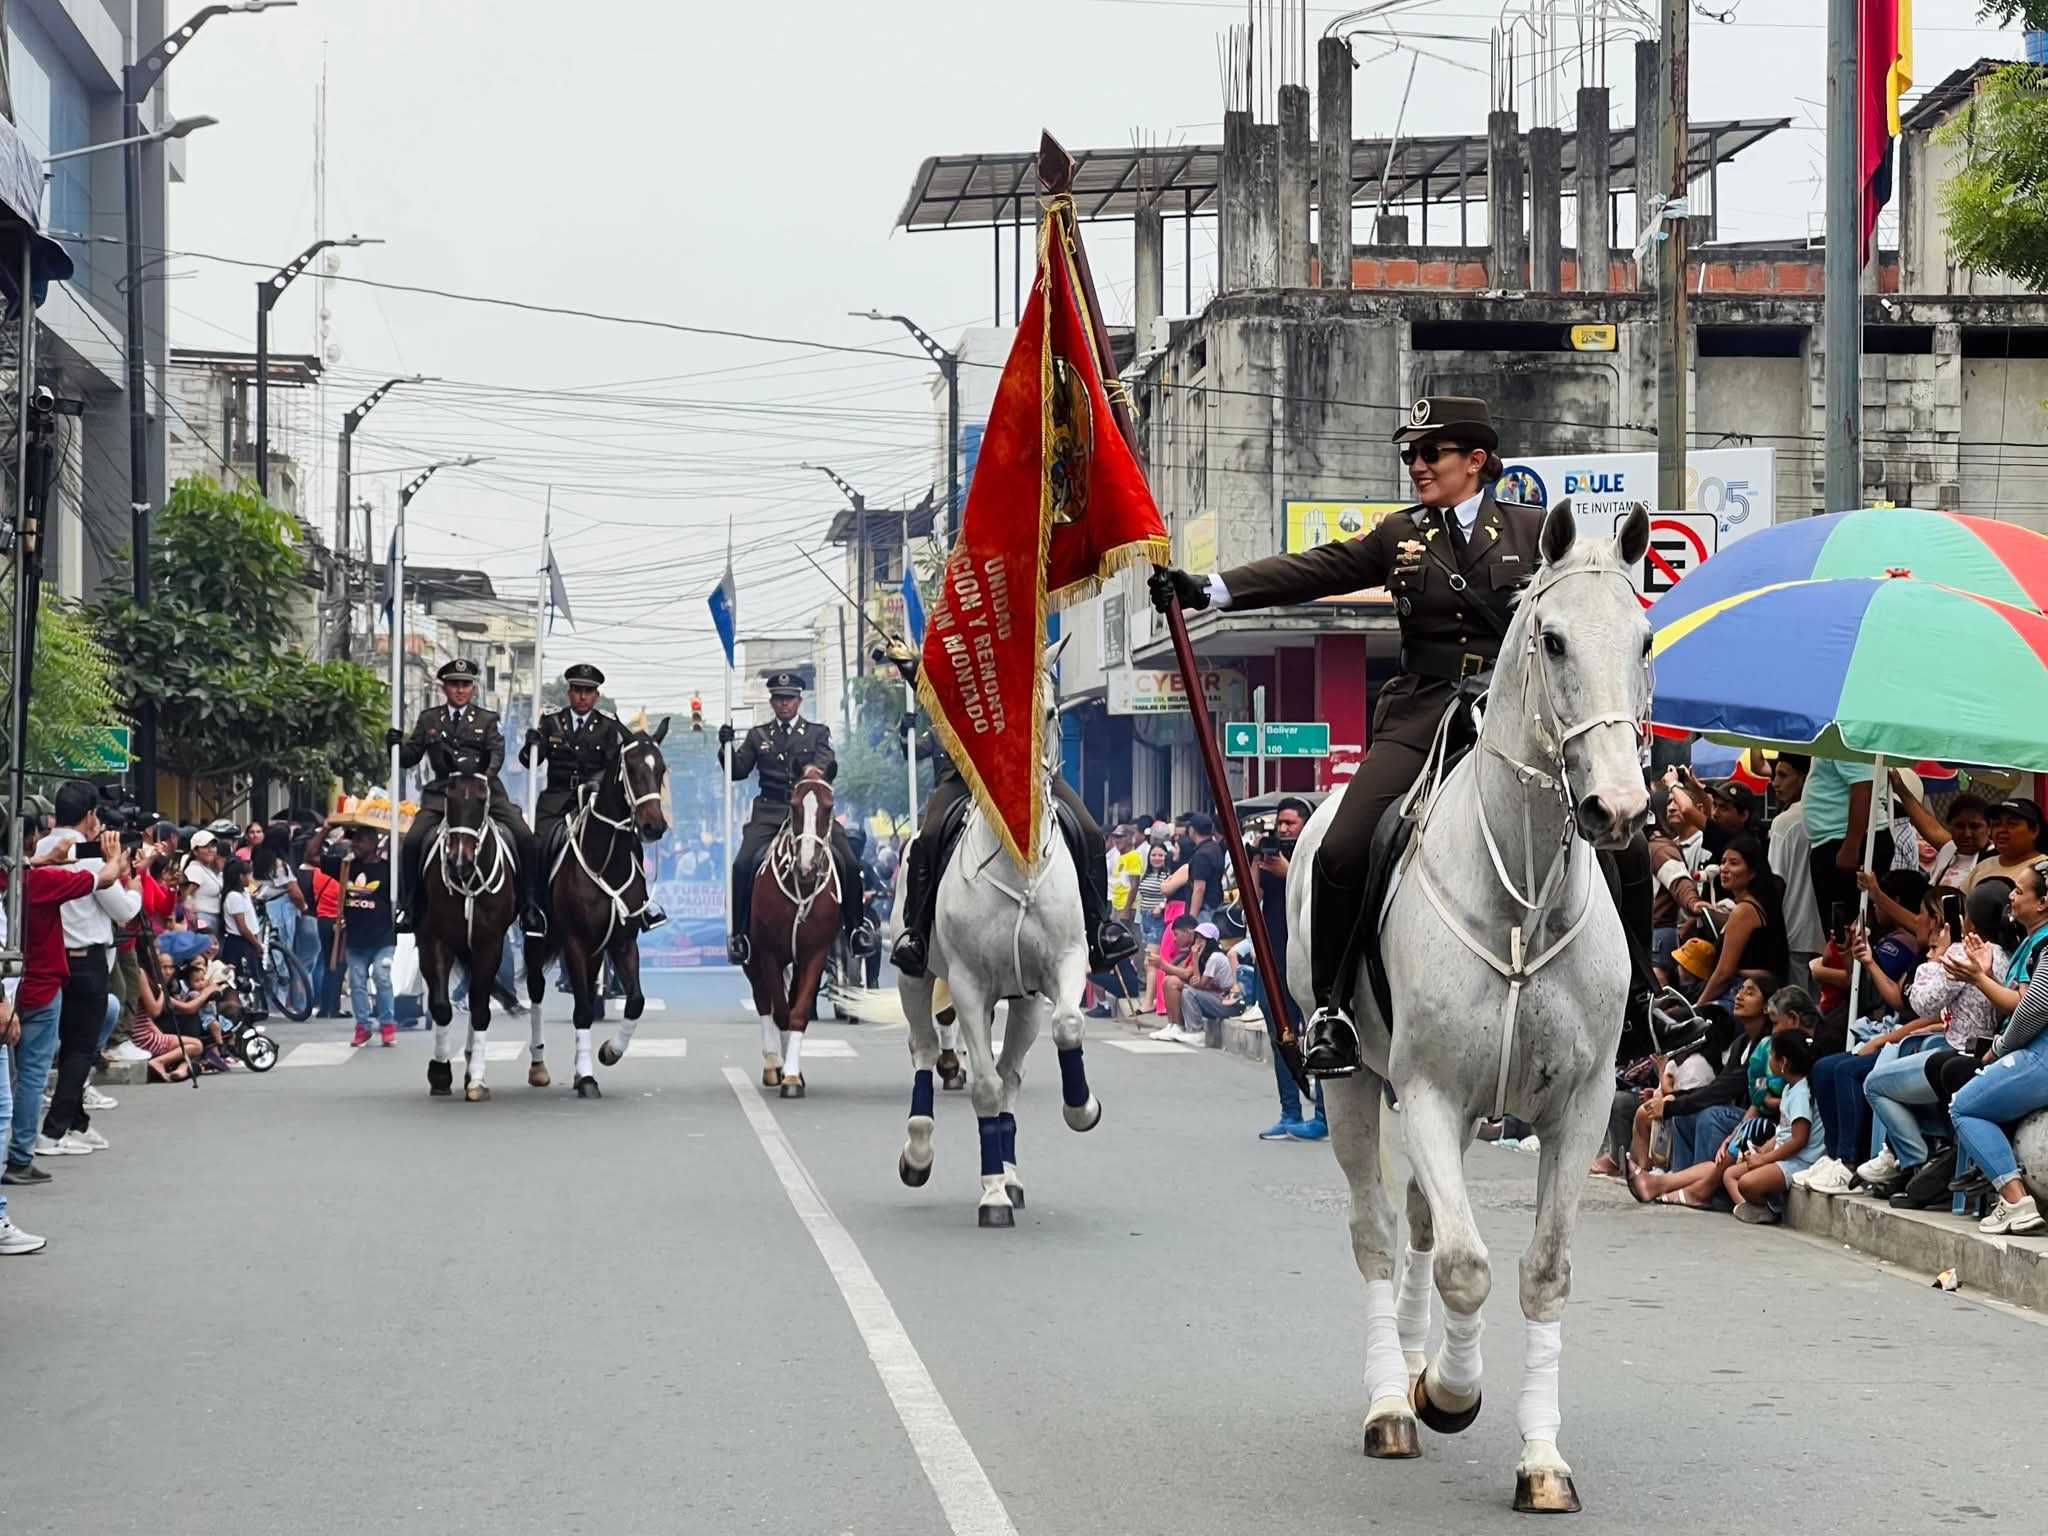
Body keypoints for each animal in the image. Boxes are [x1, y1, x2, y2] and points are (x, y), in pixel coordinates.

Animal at [419, 773, 521, 1103]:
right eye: (448, 798)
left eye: (482, 798)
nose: (458, 863)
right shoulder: (434, 940)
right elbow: (441, 1007)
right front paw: (440, 1073)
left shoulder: (490, 944)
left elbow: (479, 1008)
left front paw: (477, 1078)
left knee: (479, 995)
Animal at [522, 720, 670, 1099]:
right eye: (631, 768)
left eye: (661, 769)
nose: (653, 827)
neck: (606, 859)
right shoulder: (574, 942)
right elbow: (583, 1011)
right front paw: (587, 1077)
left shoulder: (623, 943)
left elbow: (635, 1002)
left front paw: (609, 1053)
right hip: (537, 942)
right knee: (537, 993)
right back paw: (538, 1066)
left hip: (594, 952)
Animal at [744, 769, 841, 1099]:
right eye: (795, 806)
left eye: (828, 807)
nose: (807, 866)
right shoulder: (768, 953)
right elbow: (780, 1012)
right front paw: (782, 1069)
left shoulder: (815, 954)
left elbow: (797, 1013)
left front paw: (792, 1075)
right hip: (751, 958)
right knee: (763, 1000)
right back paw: (773, 1062)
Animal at [895, 636, 1099, 1228]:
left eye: (1049, 713)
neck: (1016, 863)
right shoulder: (966, 984)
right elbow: (983, 1085)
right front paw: (989, 1197)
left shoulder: (1065, 963)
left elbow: (1068, 1026)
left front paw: (1081, 1107)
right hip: (916, 977)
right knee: (924, 1050)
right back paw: (920, 1153)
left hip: (1023, 998)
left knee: (1012, 1074)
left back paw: (1009, 1174)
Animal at [1287, 501, 1651, 1513]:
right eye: (1554, 639)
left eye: (1644, 638)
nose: (1618, 808)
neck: (1523, 895)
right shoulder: (1431, 1093)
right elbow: (1464, 1265)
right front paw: (1447, 1394)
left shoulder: (1581, 1108)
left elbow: (1542, 1270)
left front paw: (1542, 1458)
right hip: (1357, 1086)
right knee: (1380, 1236)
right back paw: (1392, 1400)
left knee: (1414, 1225)